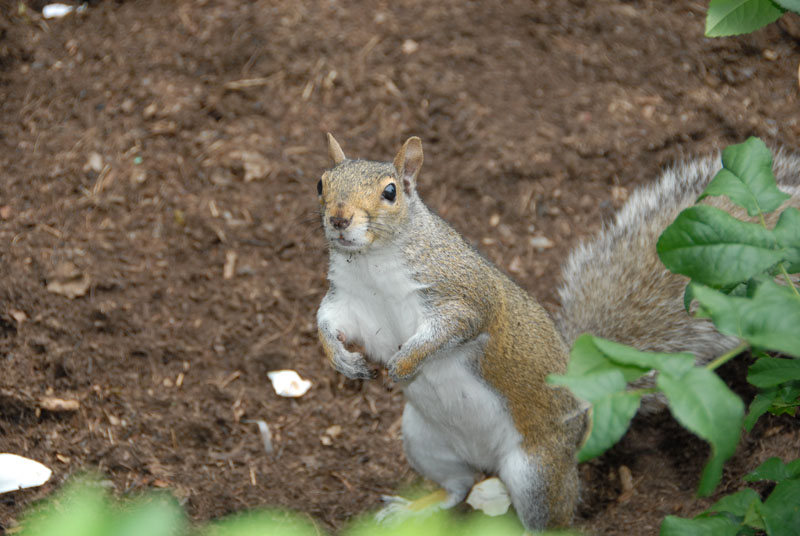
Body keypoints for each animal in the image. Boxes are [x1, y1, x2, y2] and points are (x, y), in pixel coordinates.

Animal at [314, 134, 800, 528]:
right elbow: (327, 322)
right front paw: (341, 360)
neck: (375, 263)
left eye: (390, 192)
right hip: (426, 442)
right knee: (457, 489)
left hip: (536, 474)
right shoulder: (352, 303)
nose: (338, 219)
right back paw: (413, 508)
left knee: (551, 519)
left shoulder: (464, 293)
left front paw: (405, 361)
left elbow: (454, 326)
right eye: (321, 183)